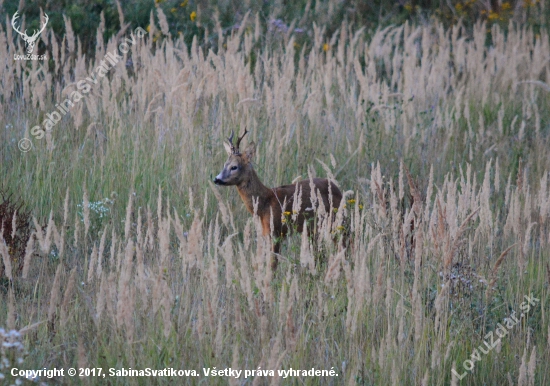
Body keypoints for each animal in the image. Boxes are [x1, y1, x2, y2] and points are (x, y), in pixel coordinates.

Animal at [216, 130, 344, 268]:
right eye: (224, 165)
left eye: (234, 167)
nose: (216, 179)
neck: (264, 203)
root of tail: (338, 189)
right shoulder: (265, 233)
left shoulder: (276, 230)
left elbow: (273, 264)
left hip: (334, 219)